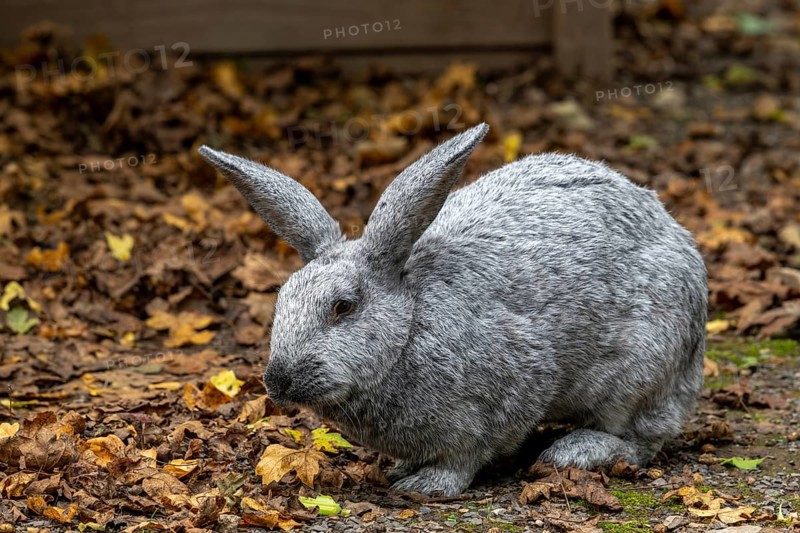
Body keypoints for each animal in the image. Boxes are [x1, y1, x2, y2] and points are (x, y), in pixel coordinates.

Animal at [198, 123, 707, 496]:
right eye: (282, 299)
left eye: (343, 306)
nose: (278, 381)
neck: (409, 325)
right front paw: (401, 471)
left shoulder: (503, 400)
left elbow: (465, 459)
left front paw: (424, 486)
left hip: (640, 370)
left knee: (642, 440)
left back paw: (574, 451)